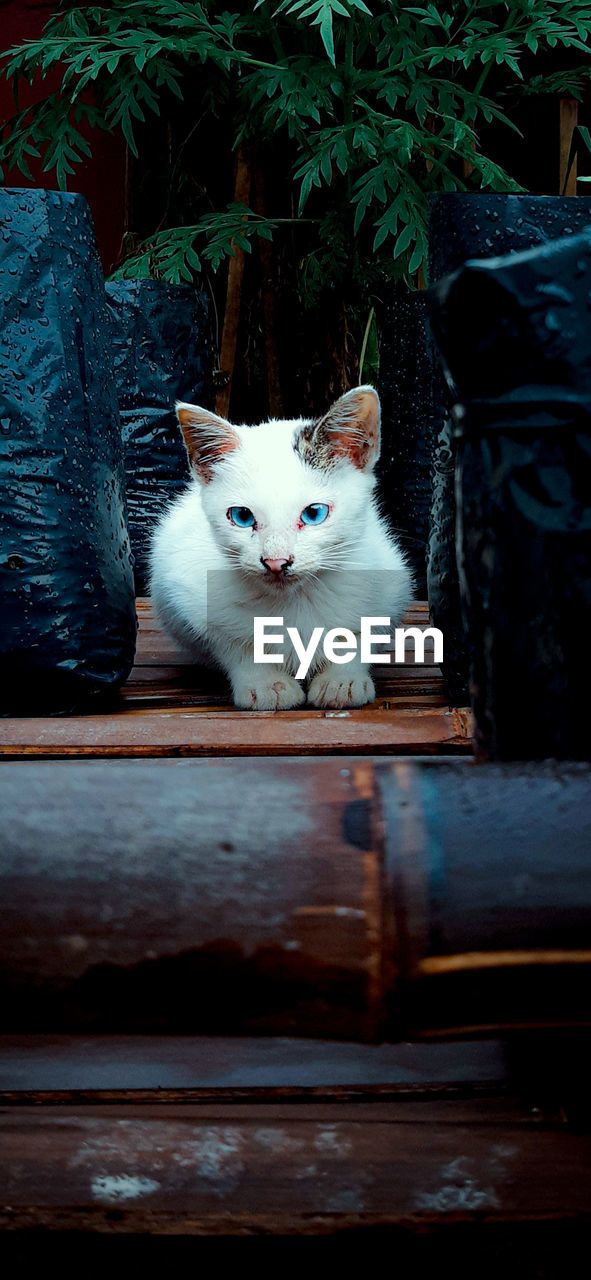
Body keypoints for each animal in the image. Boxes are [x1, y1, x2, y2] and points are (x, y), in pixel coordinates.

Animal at [150, 384, 414, 716]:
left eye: (314, 513)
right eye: (242, 516)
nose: (276, 562)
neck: (293, 601)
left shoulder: (390, 585)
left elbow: (362, 633)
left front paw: (342, 679)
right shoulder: (188, 591)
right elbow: (232, 643)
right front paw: (264, 683)